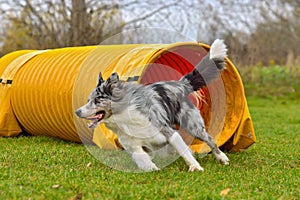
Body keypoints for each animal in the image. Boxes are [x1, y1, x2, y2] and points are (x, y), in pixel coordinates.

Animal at [76, 39, 229, 172]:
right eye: (88, 100)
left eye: (97, 100)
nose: (77, 112)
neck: (122, 118)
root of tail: (181, 84)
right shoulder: (133, 145)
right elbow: (143, 158)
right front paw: (152, 169)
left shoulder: (169, 132)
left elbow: (183, 150)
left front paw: (196, 167)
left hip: (192, 125)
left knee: (209, 139)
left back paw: (222, 158)